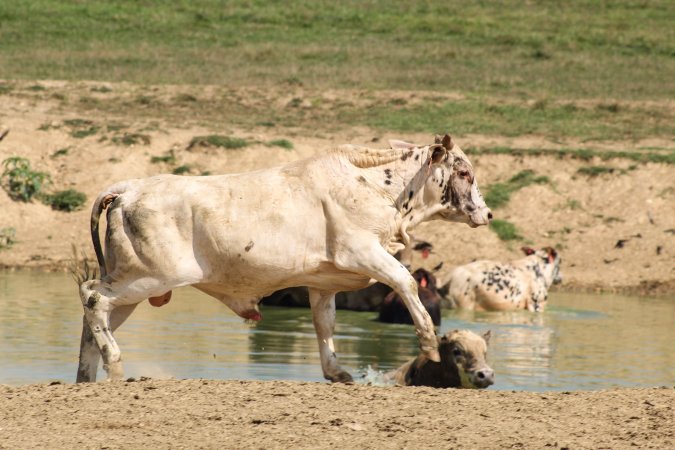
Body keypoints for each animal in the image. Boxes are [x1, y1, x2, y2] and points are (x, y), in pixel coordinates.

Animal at [76, 134, 494, 384]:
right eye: (464, 171)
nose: (487, 213)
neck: (374, 187)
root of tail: (128, 188)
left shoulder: (325, 282)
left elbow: (325, 324)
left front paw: (336, 372)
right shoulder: (364, 252)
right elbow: (406, 282)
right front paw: (428, 343)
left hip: (133, 283)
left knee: (93, 319)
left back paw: (86, 376)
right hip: (146, 278)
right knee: (93, 296)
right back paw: (114, 362)